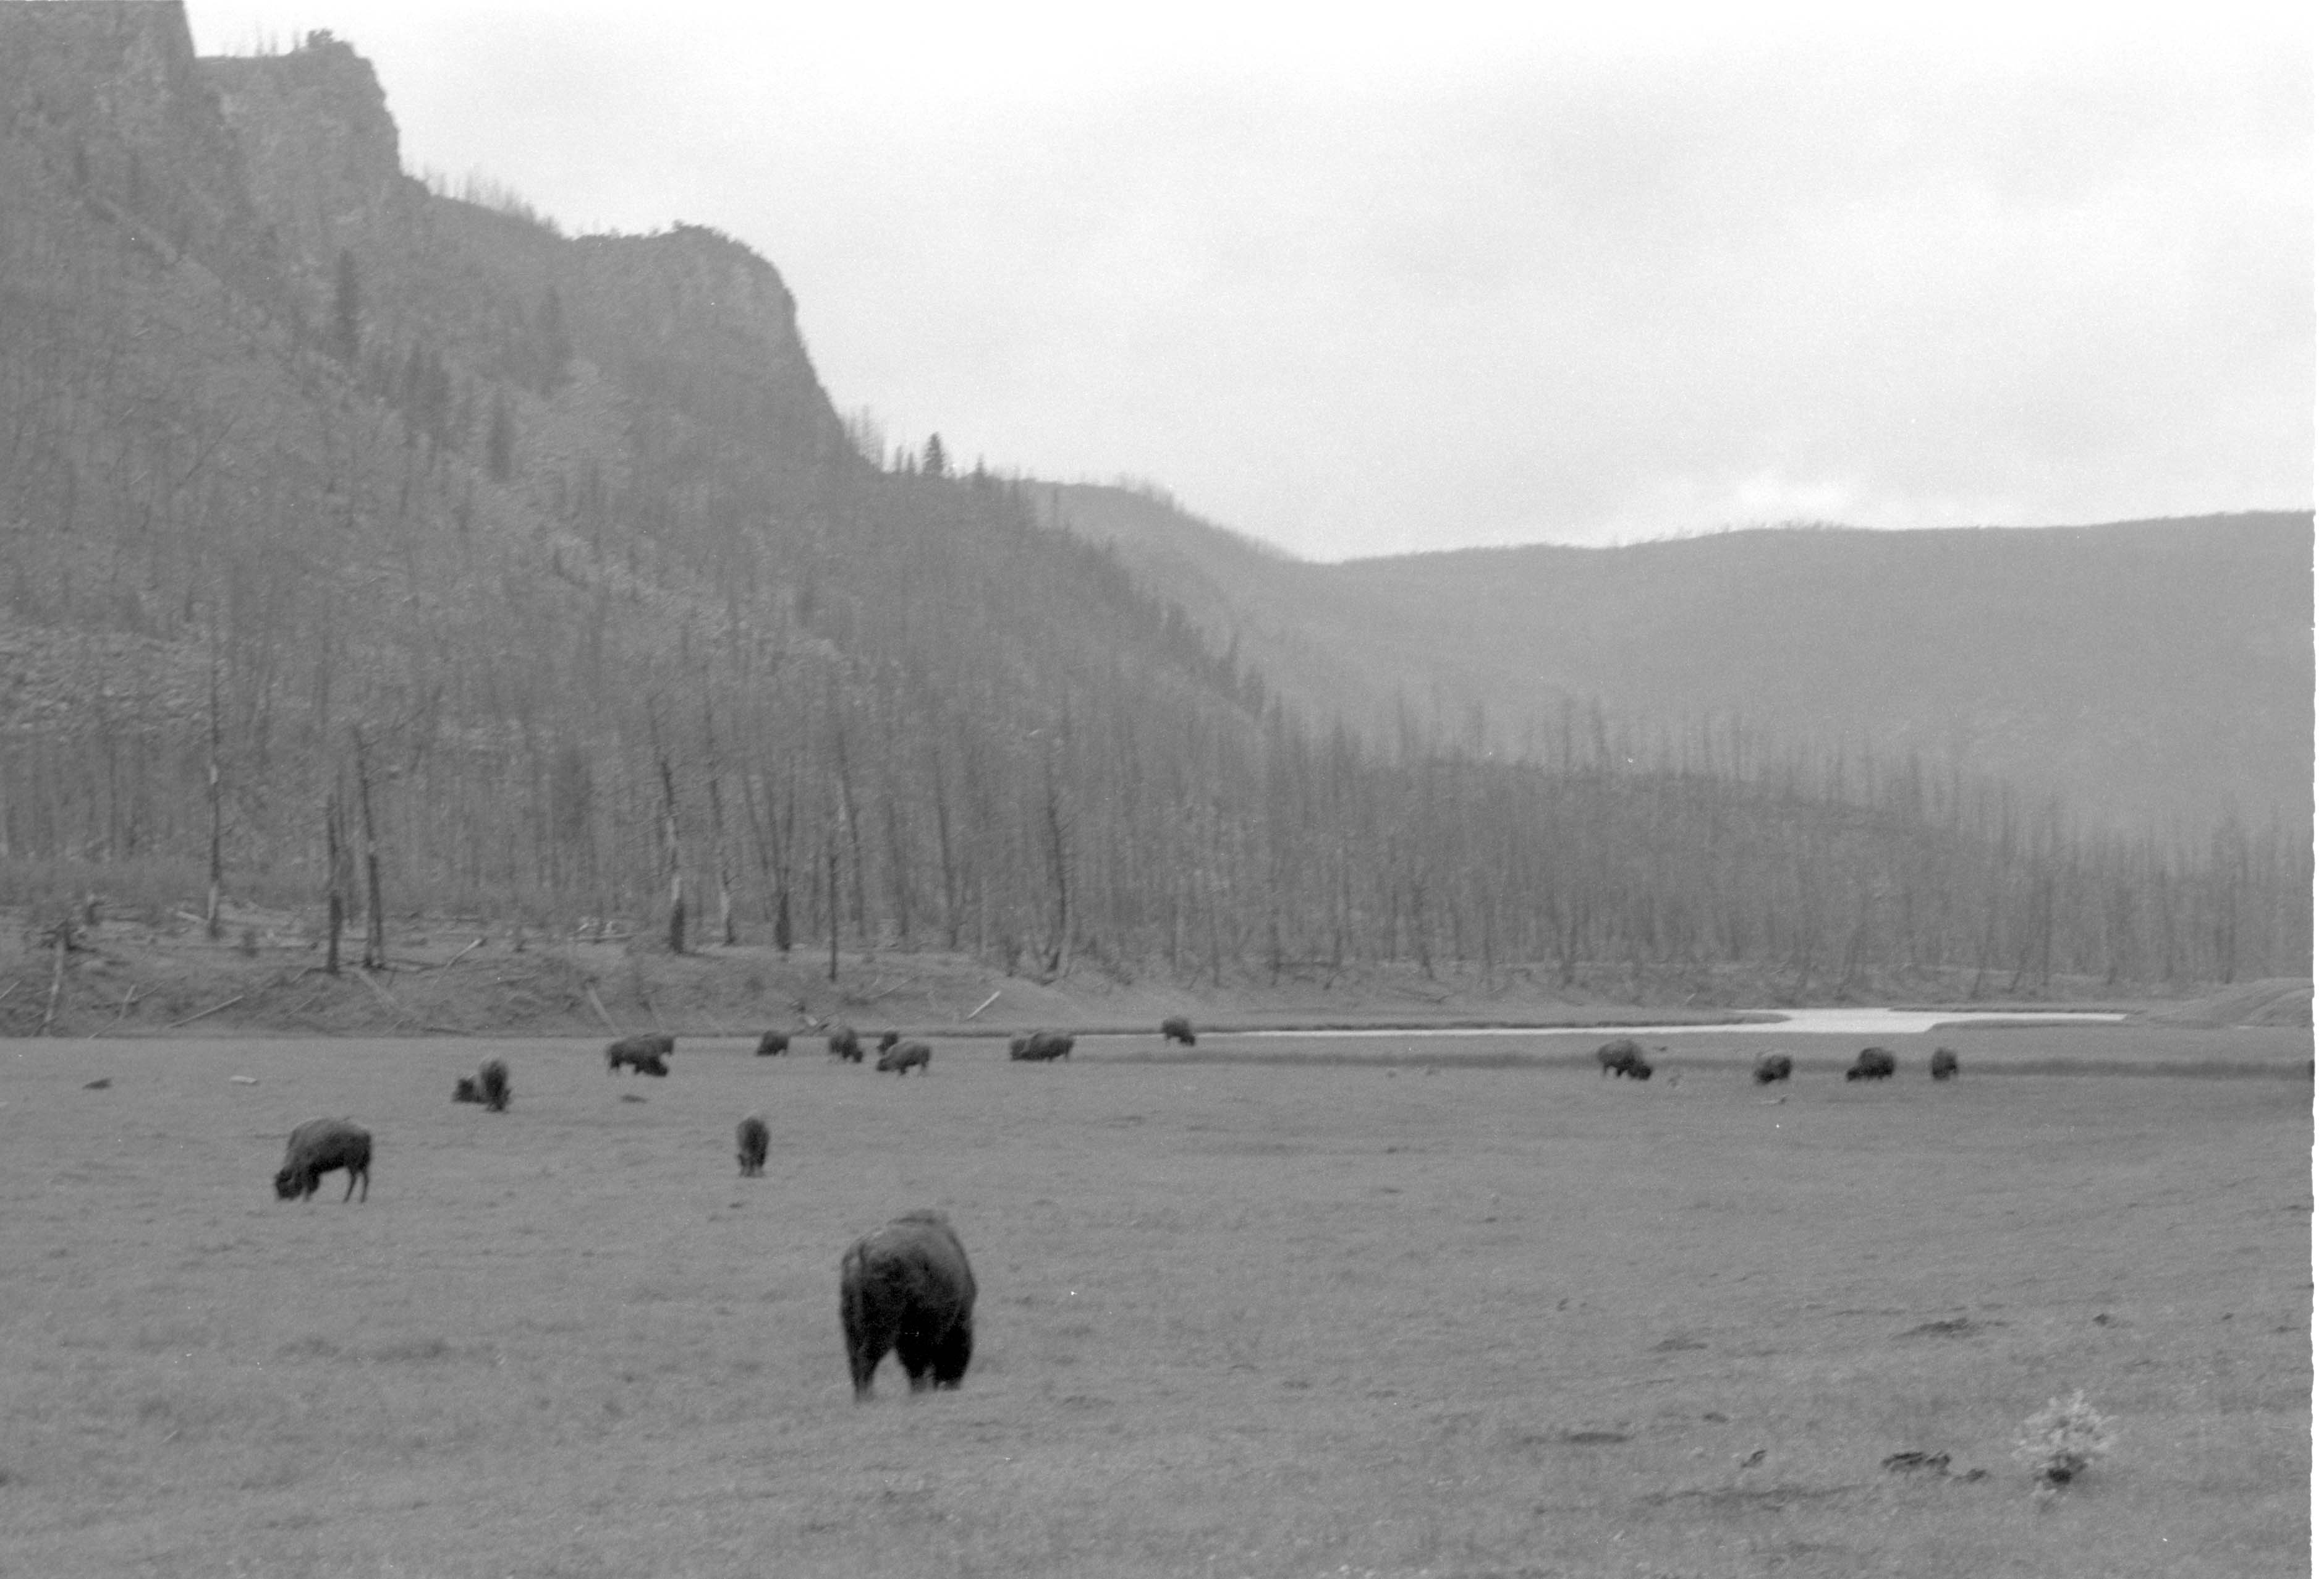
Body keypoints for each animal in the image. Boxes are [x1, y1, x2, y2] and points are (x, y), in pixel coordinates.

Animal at [274, 1118, 372, 1203]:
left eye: (281, 1185)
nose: (280, 1199)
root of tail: (365, 1133)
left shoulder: (305, 1168)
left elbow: (306, 1183)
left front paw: (306, 1199)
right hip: (363, 1164)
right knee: (366, 1179)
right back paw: (362, 1199)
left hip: (352, 1164)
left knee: (354, 1179)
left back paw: (346, 1199)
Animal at [840, 1210, 977, 1400]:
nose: (952, 1385)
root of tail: (861, 1253)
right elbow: (916, 1361)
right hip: (882, 1327)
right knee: (867, 1357)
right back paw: (869, 1397)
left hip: (851, 1328)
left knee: (854, 1359)